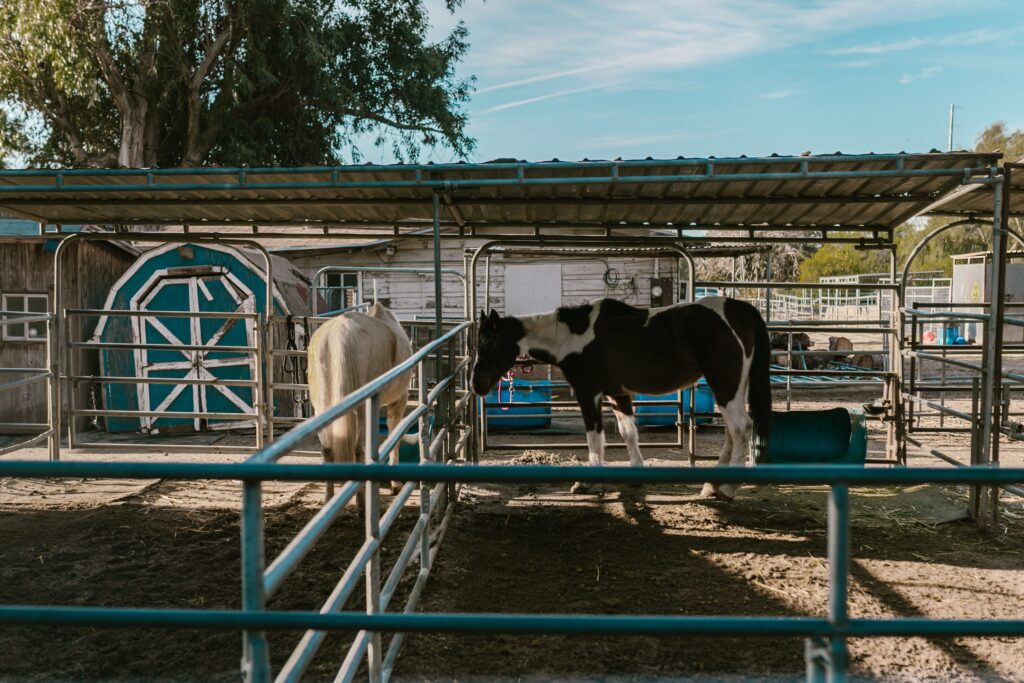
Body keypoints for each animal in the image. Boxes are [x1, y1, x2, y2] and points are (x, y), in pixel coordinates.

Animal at [305, 305, 413, 497]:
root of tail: (343, 331)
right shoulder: (399, 400)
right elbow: (394, 433)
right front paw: (396, 484)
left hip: (323, 407)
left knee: (328, 449)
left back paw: (330, 497)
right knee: (359, 449)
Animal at [468, 296, 770, 499]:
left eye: (489, 343)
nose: (475, 385)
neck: (570, 337)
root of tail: (741, 309)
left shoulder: (588, 393)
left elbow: (594, 437)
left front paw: (587, 482)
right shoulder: (618, 395)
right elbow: (628, 433)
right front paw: (635, 475)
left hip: (726, 385)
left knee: (740, 428)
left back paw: (728, 488)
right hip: (732, 389)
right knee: (732, 432)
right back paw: (712, 485)